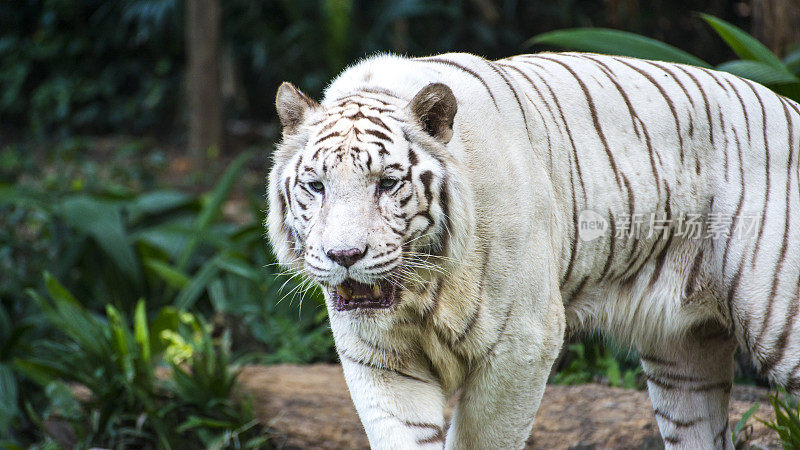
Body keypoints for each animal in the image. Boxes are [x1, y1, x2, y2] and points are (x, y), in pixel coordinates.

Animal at [268, 51, 800, 448]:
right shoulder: (380, 359)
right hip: (684, 354)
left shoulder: (521, 344)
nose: (344, 257)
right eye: (315, 186)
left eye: (387, 183)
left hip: (780, 319)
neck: (423, 290)